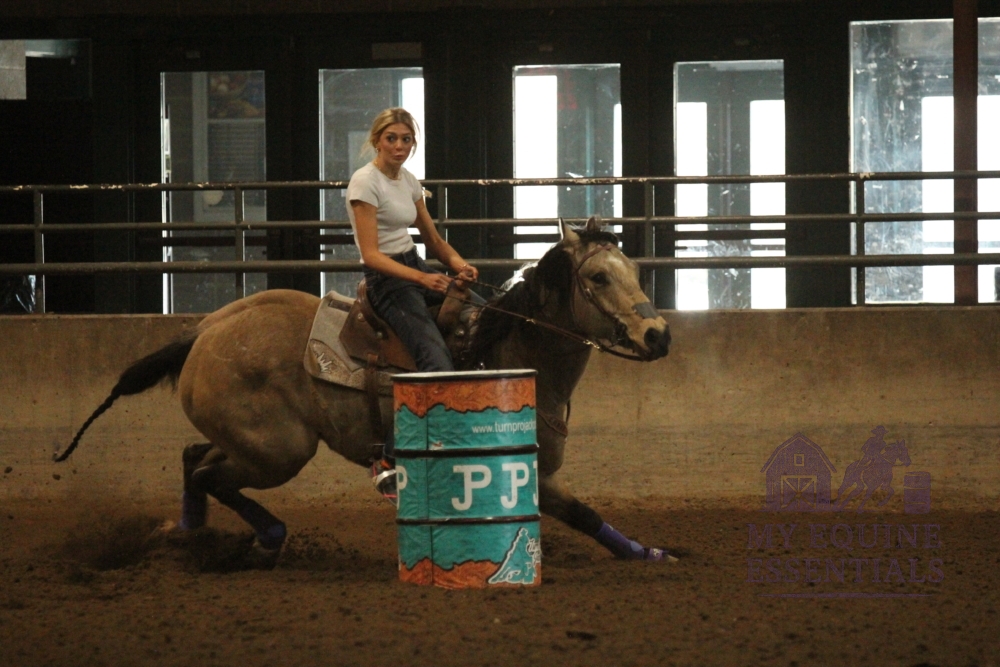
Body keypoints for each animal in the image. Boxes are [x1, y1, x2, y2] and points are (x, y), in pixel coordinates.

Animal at [58, 217, 674, 568]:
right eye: (598, 278)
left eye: (633, 267)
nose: (659, 335)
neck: (506, 349)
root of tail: (206, 330)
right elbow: (579, 511)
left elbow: (585, 514)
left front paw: (651, 551)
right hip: (279, 450)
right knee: (212, 475)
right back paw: (260, 541)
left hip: (246, 439)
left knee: (194, 459)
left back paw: (187, 537)